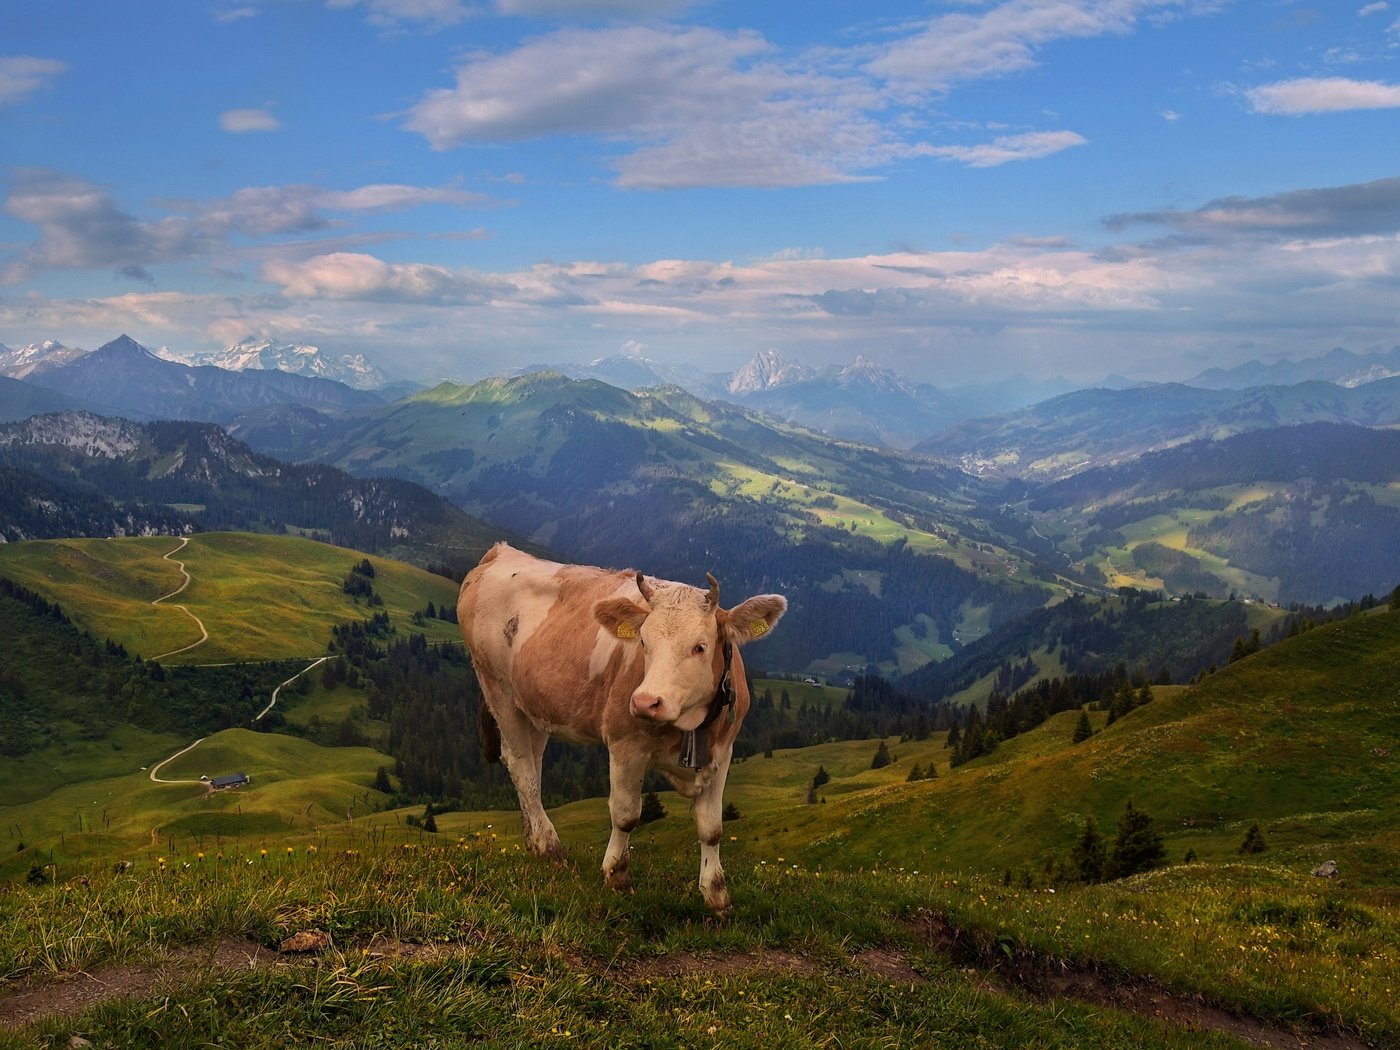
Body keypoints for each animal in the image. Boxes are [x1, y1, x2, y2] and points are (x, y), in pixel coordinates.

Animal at [459, 543, 789, 912]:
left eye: (700, 646)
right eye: (643, 642)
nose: (646, 702)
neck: (689, 724)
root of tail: (501, 552)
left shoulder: (723, 751)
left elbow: (712, 827)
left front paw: (716, 894)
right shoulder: (625, 744)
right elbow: (626, 814)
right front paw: (616, 877)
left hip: (533, 704)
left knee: (533, 763)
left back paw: (534, 841)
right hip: (497, 687)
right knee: (520, 766)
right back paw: (549, 846)